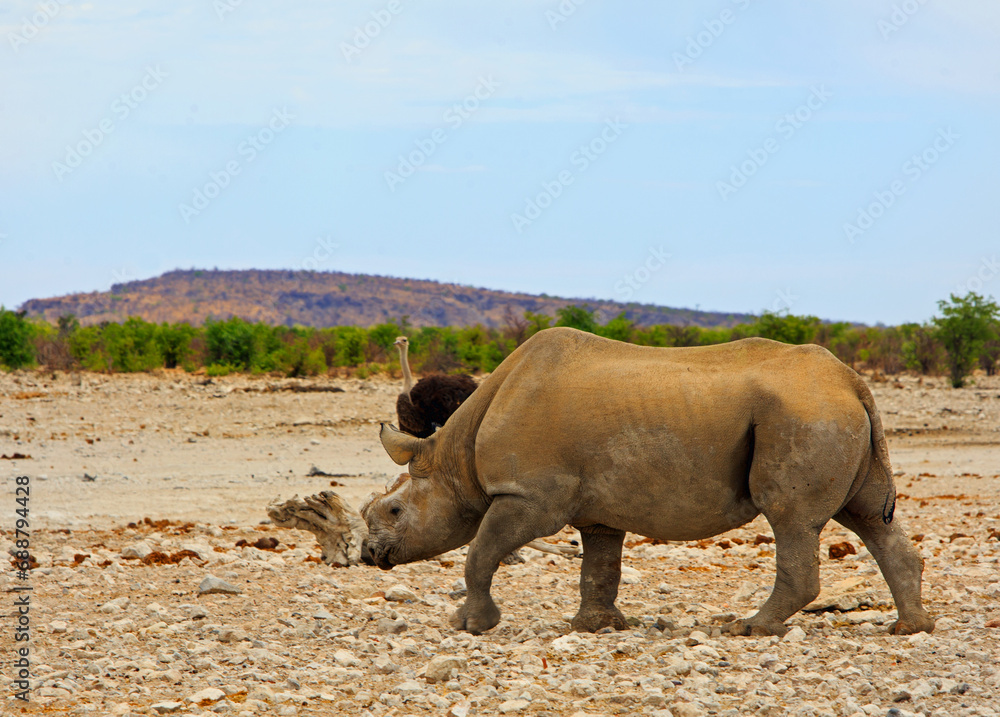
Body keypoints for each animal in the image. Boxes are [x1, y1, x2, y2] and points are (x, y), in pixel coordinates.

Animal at [362, 328, 934, 637]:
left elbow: (479, 553)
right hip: (825, 411)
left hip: (804, 412)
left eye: (393, 512)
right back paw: (910, 628)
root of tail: (850, 380)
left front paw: (470, 625)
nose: (368, 555)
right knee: (867, 517)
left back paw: (750, 629)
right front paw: (593, 627)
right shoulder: (594, 509)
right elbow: (598, 567)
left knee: (791, 519)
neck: (452, 460)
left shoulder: (528, 496)